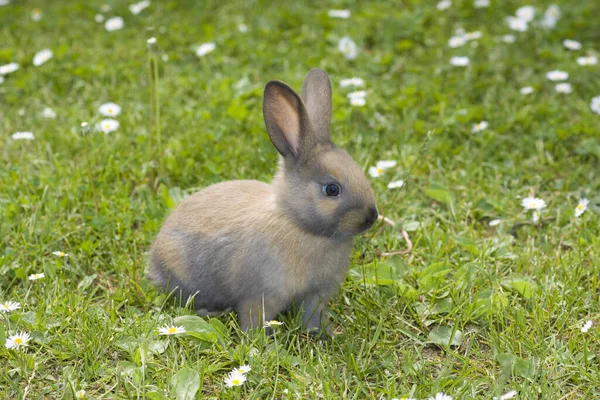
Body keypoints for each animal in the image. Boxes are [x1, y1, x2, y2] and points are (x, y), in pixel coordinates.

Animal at [148, 69, 378, 334]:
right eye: (332, 189)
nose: (372, 217)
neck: (300, 225)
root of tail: (154, 256)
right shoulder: (261, 296)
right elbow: (254, 318)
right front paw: (258, 340)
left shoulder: (315, 295)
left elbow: (311, 316)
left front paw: (321, 334)